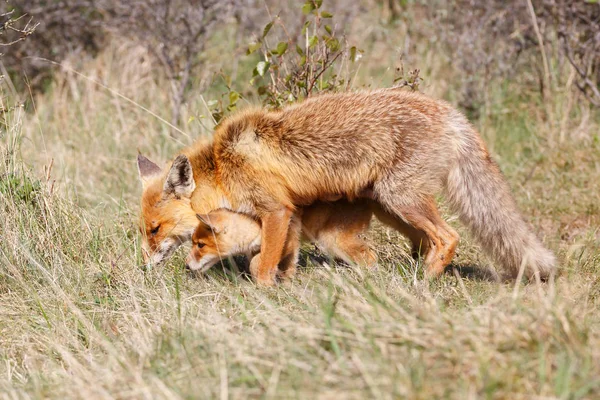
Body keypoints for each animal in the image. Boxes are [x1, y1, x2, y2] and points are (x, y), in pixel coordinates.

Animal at [138, 89, 556, 286]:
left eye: (155, 230)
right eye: (144, 230)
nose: (144, 266)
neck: (224, 166)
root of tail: (453, 115)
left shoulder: (276, 209)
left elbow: (262, 264)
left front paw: (267, 290)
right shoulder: (287, 216)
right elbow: (280, 256)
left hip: (401, 198)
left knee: (448, 237)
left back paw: (424, 282)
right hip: (391, 207)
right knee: (424, 242)